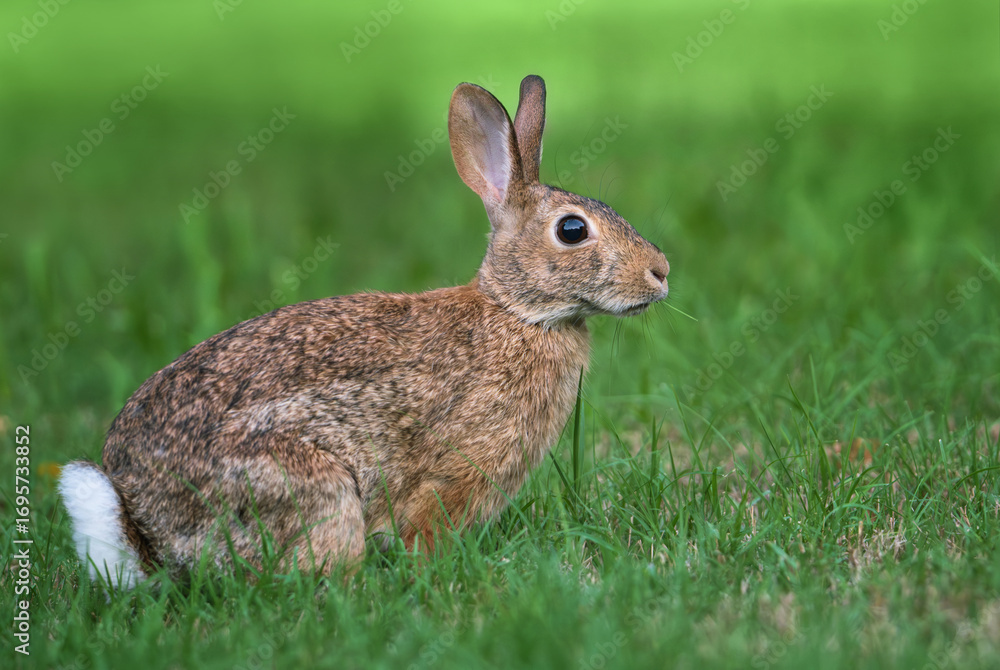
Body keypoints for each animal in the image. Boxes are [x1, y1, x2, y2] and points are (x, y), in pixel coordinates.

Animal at [59, 75, 670, 589]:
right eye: (572, 231)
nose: (661, 272)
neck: (515, 312)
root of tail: (149, 534)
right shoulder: (451, 473)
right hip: (311, 487)